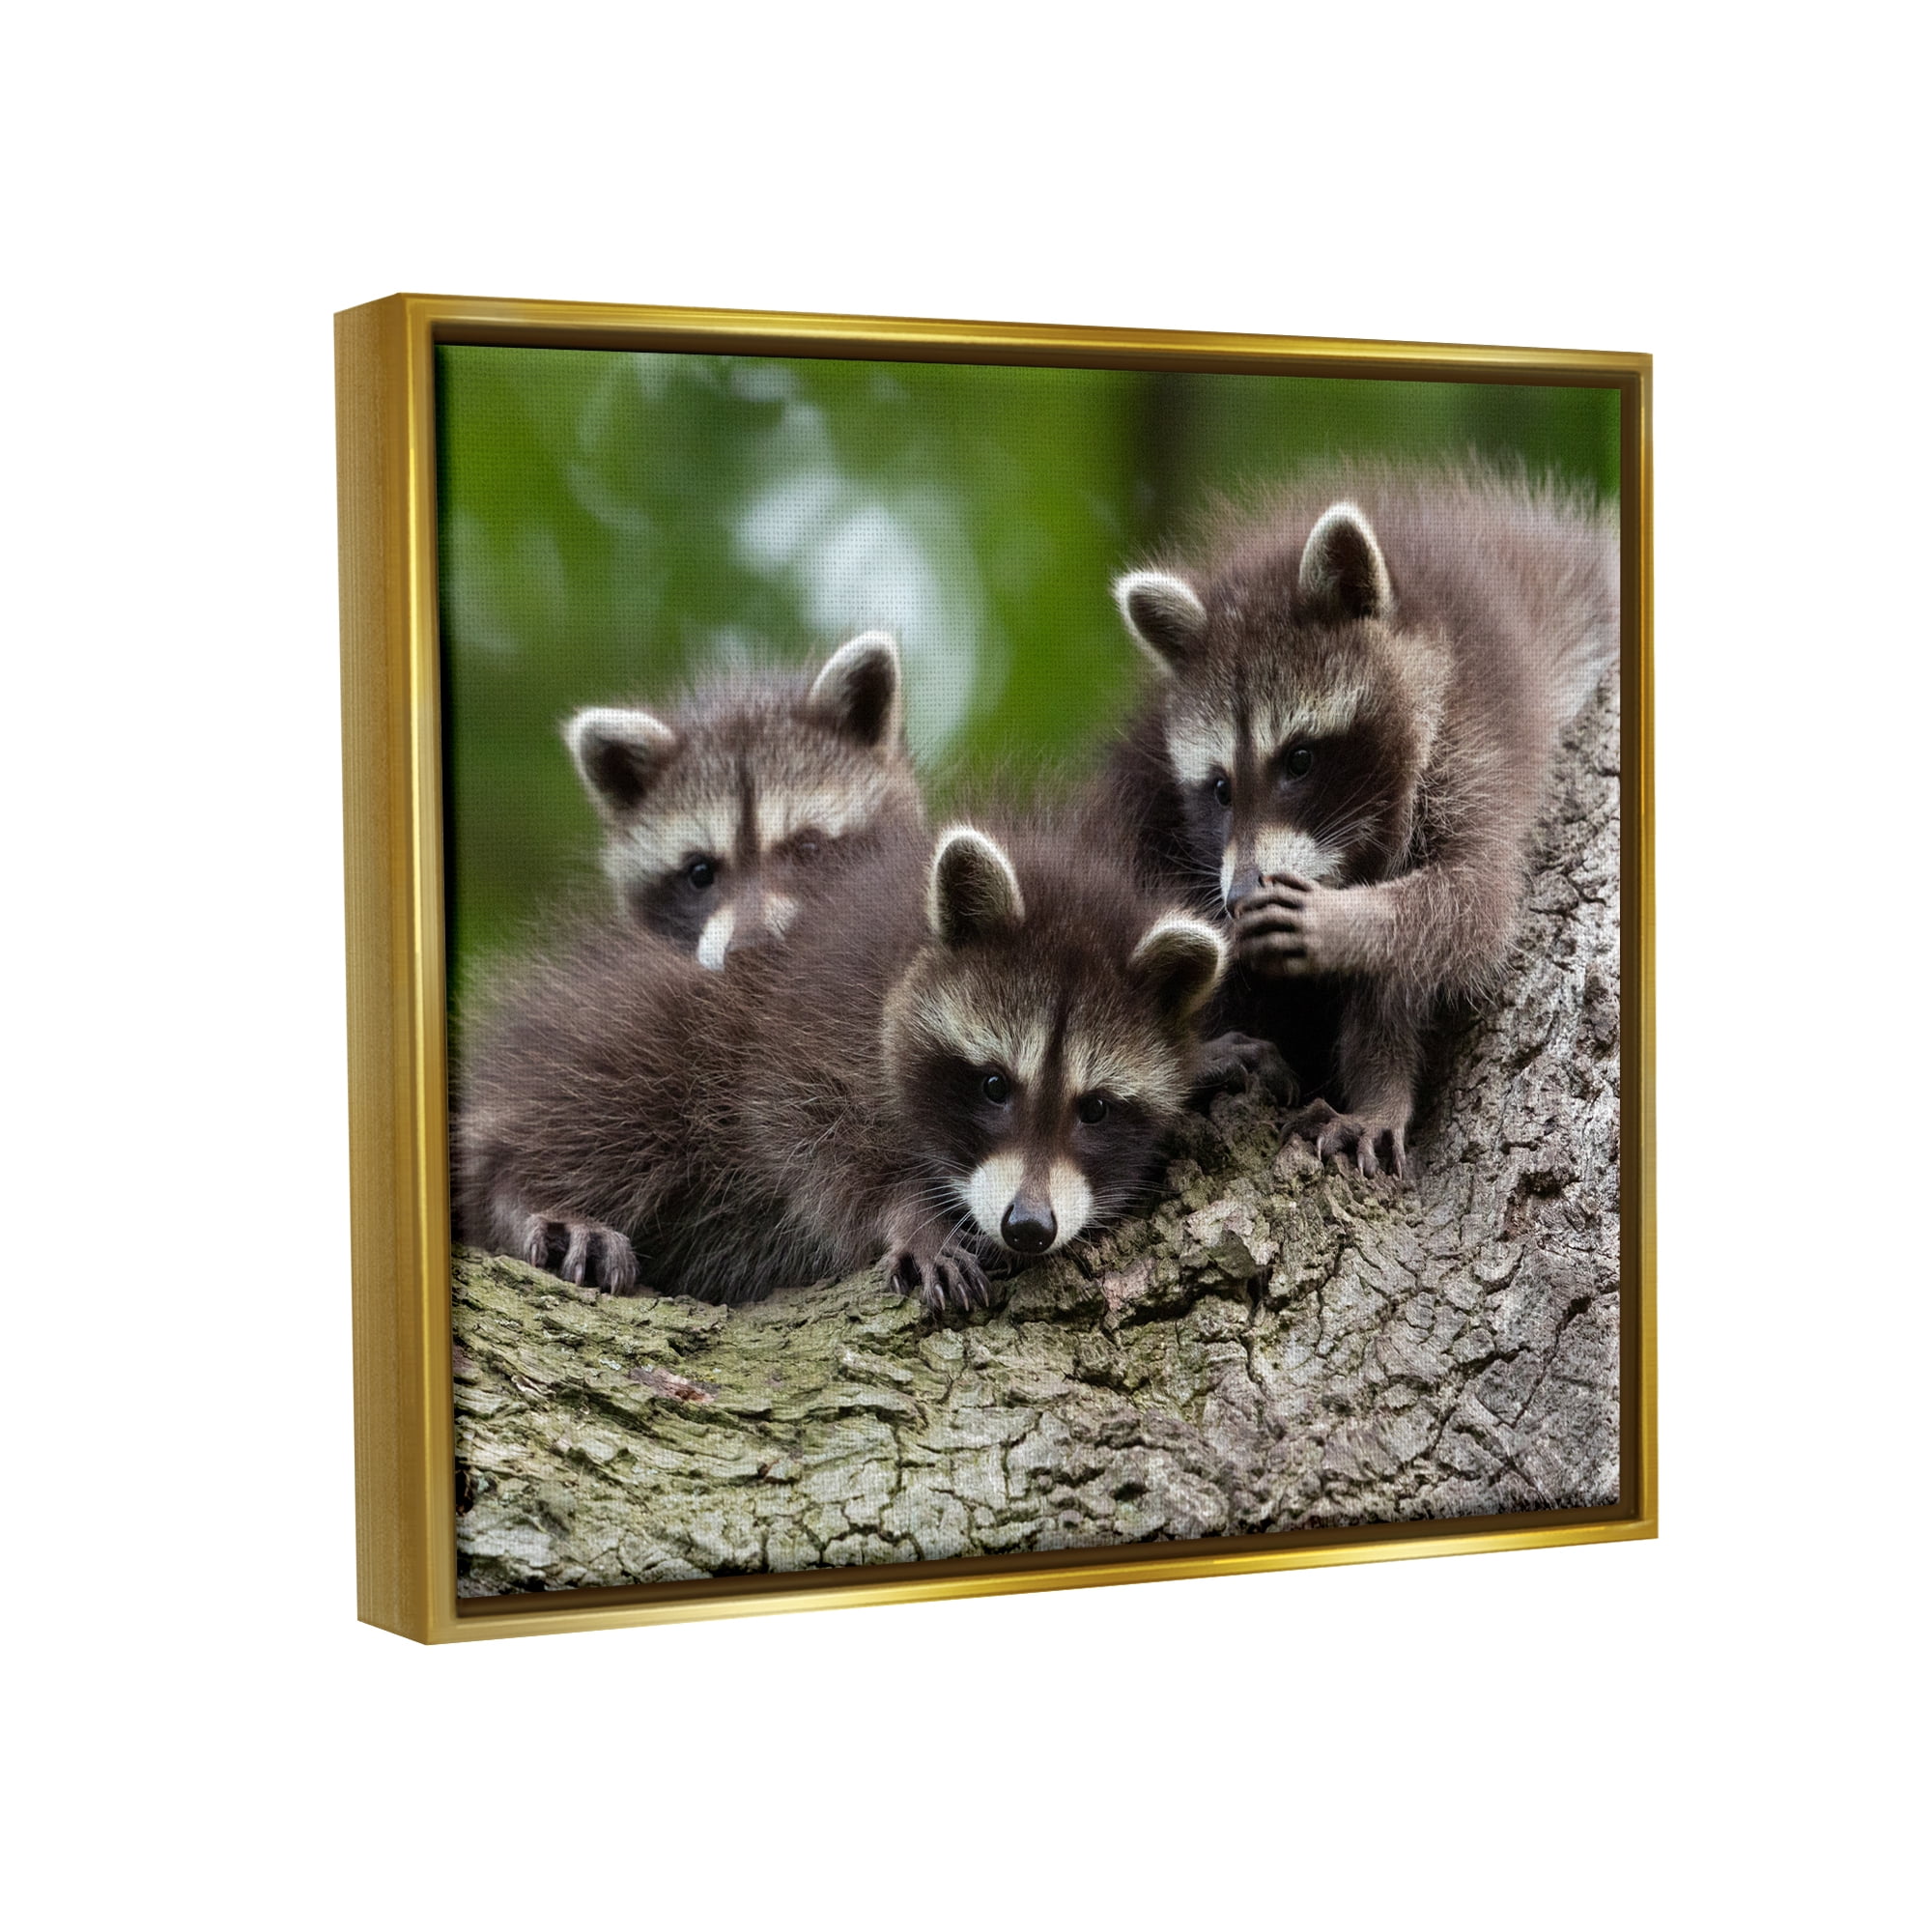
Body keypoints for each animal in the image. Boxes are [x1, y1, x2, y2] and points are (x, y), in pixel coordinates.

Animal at [454, 820, 1227, 1312]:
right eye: (993, 1085)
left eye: (1094, 1109)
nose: (1028, 1227)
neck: (905, 954)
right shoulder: (809, 1022)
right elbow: (812, 1141)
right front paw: (911, 1215)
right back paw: (522, 1189)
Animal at [1106, 463, 1618, 1177]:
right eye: (1220, 789)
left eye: (1299, 759)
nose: (1238, 895)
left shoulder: (1476, 739)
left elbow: (1470, 907)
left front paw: (1347, 922)